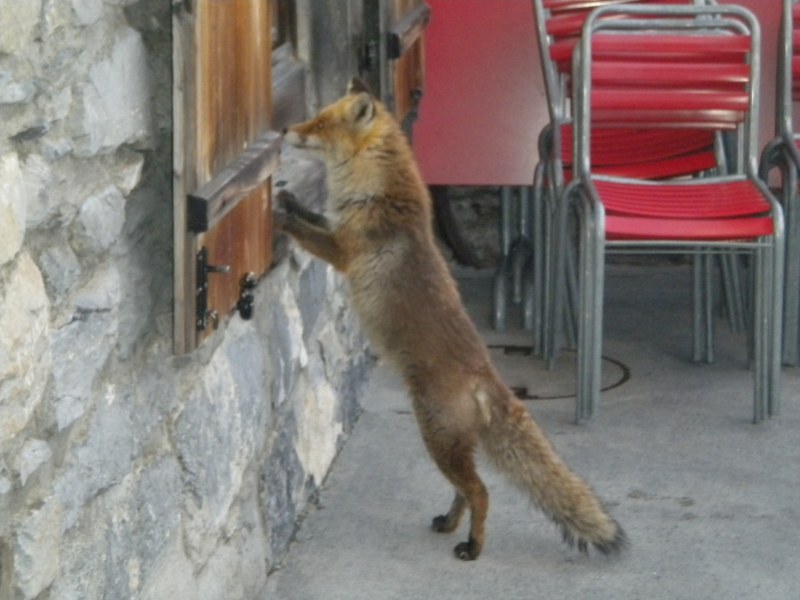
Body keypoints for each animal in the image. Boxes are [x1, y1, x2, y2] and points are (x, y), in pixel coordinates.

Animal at [276, 77, 627, 561]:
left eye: (321, 125)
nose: (285, 128)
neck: (376, 193)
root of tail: (486, 375)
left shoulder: (344, 250)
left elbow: (305, 230)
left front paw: (279, 214)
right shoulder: (337, 229)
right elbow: (312, 215)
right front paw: (288, 199)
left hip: (437, 439)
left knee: (481, 492)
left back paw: (473, 545)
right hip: (449, 447)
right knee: (466, 491)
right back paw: (449, 522)